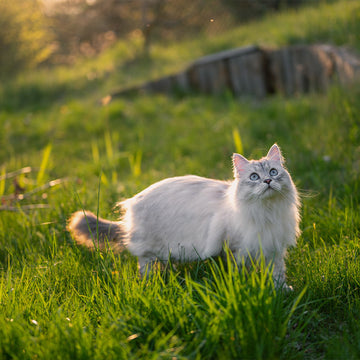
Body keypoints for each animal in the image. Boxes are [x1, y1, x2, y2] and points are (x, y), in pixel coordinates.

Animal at [67, 145, 300, 288]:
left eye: (273, 172)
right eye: (254, 177)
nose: (267, 182)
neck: (267, 212)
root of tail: (133, 202)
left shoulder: (274, 248)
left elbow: (278, 274)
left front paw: (282, 290)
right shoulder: (238, 249)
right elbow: (240, 273)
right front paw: (245, 288)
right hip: (149, 250)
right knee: (145, 266)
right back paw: (152, 283)